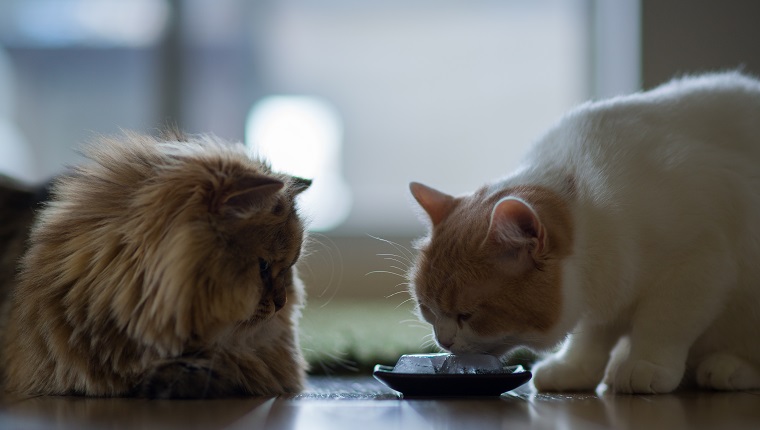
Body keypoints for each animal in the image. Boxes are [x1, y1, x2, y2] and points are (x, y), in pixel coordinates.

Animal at [406, 72, 760, 394]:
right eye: (427, 309)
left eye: (466, 315)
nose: (443, 340)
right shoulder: (604, 285)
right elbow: (591, 336)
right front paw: (575, 368)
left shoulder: (696, 265)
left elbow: (662, 324)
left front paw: (645, 364)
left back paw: (727, 367)